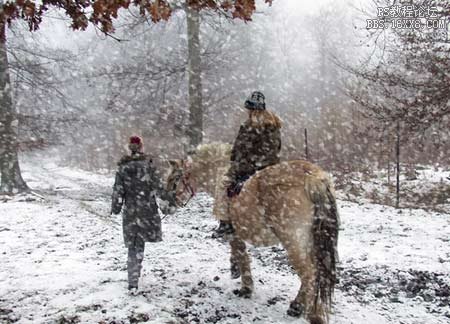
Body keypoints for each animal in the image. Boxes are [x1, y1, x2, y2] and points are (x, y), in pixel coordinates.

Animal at [167, 144, 340, 324]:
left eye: (174, 180)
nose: (166, 205)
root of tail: (312, 177)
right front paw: (235, 270)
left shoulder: (235, 234)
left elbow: (242, 257)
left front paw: (245, 288)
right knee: (316, 272)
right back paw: (301, 307)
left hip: (293, 242)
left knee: (309, 274)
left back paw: (307, 312)